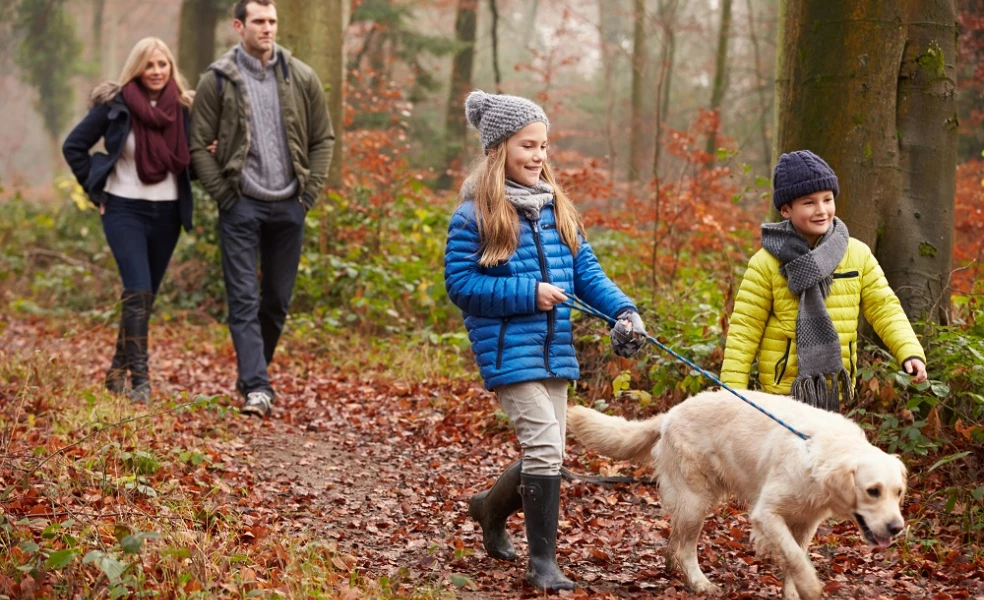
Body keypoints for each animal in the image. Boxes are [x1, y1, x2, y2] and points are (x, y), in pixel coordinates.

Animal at [568, 390, 908, 600]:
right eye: (872, 491)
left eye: (898, 493)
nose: (896, 528)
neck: (819, 452)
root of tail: (670, 414)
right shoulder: (767, 514)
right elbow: (794, 557)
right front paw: (811, 587)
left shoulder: (805, 523)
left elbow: (794, 558)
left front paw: (793, 592)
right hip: (696, 501)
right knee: (685, 548)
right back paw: (700, 583)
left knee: (674, 542)